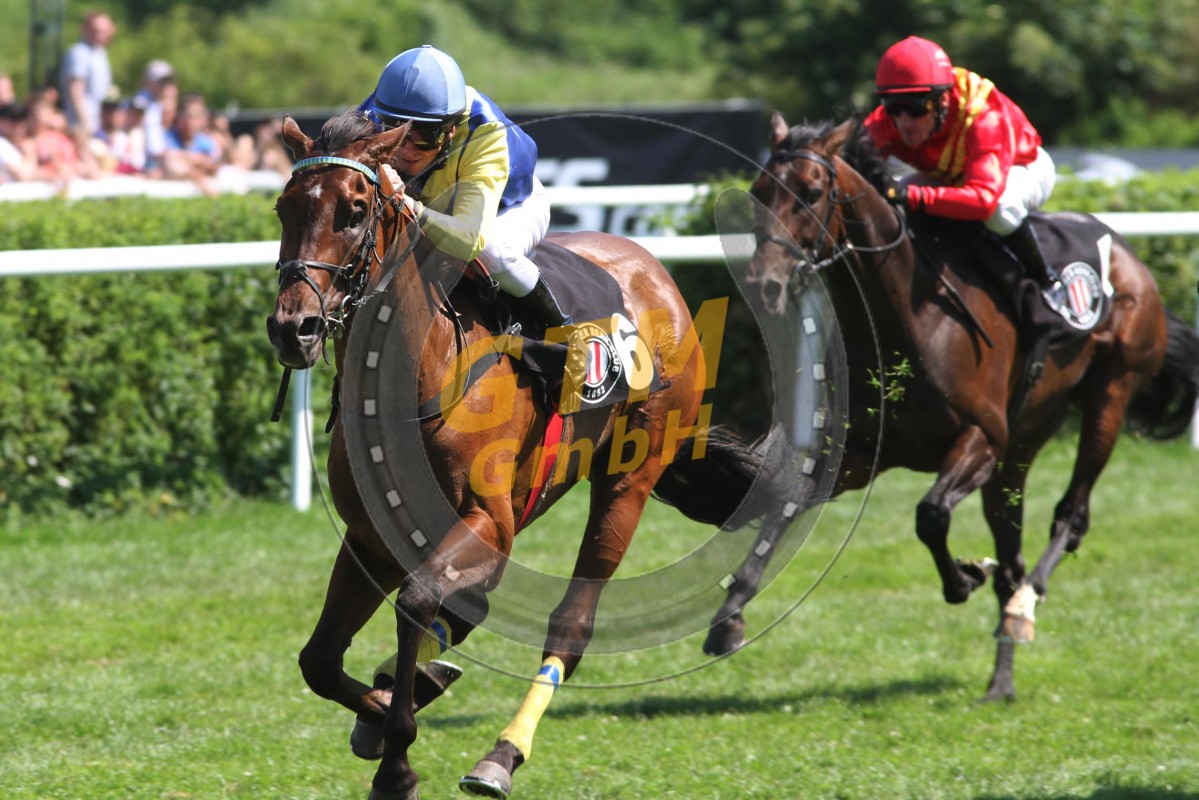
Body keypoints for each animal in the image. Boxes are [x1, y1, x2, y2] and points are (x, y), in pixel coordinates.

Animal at [266, 111, 759, 799]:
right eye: (284, 207)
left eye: (355, 211)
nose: (294, 328)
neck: (418, 372)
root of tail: (654, 271)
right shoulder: (372, 536)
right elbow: (318, 660)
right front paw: (390, 705)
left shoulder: (487, 521)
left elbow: (417, 601)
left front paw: (397, 759)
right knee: (470, 606)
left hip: (628, 479)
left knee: (569, 624)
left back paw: (500, 754)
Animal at [704, 112, 1199, 701]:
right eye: (759, 192)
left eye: (812, 192)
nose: (765, 284)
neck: (906, 321)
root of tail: (1128, 254)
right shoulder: (861, 453)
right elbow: (787, 502)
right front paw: (728, 618)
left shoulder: (979, 439)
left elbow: (931, 514)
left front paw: (963, 579)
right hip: (1021, 444)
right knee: (1011, 557)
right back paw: (1002, 675)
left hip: (1109, 395)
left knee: (1069, 516)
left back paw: (1027, 603)